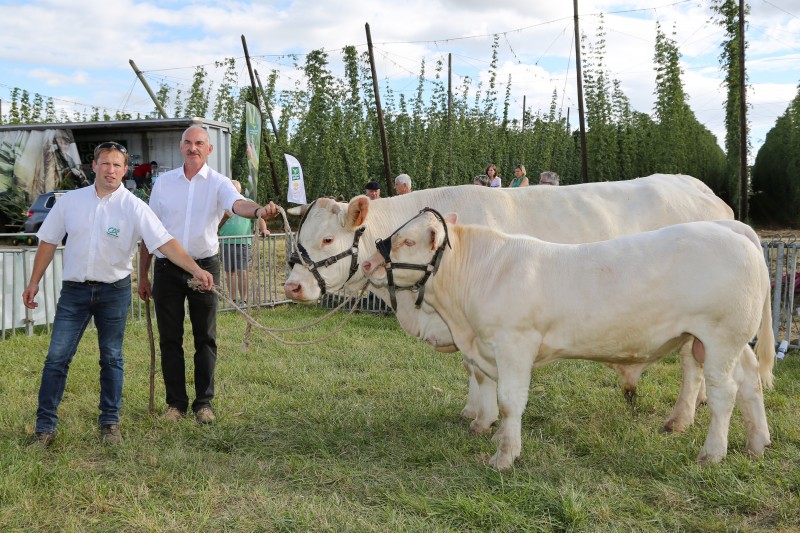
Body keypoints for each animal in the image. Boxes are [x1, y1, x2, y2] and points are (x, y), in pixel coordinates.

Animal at [284, 177, 736, 426]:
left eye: (328, 239)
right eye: (298, 238)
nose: (291, 287)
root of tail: (704, 191)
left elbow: (481, 372)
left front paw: (482, 417)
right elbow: (472, 367)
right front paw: (471, 412)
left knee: (691, 364)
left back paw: (680, 418)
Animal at [364, 212, 776, 470]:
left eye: (407, 241)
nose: (368, 264)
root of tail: (734, 230)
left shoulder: (515, 343)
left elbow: (511, 401)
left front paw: (504, 456)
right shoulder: (486, 348)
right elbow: (488, 388)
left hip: (720, 337)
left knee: (724, 393)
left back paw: (712, 454)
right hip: (732, 342)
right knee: (750, 382)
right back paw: (757, 444)